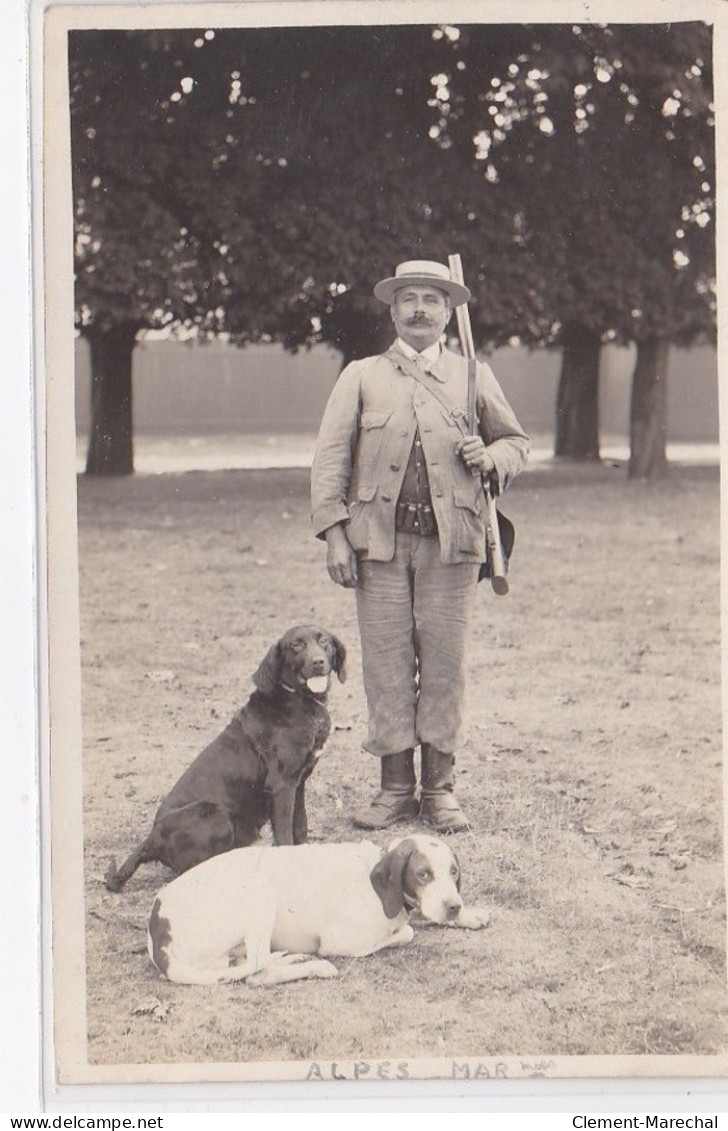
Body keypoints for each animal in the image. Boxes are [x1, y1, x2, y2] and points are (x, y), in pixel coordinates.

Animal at [102, 628, 350, 891]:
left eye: (324, 641)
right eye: (297, 645)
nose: (318, 662)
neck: (300, 701)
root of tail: (151, 838)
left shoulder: (299, 781)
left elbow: (300, 826)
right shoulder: (281, 785)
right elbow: (284, 834)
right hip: (216, 814)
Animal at [146, 836, 488, 986]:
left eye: (454, 872)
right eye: (422, 874)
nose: (454, 906)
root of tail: (157, 931)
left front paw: (469, 915)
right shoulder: (340, 943)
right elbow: (406, 931)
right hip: (259, 889)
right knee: (257, 973)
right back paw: (313, 966)